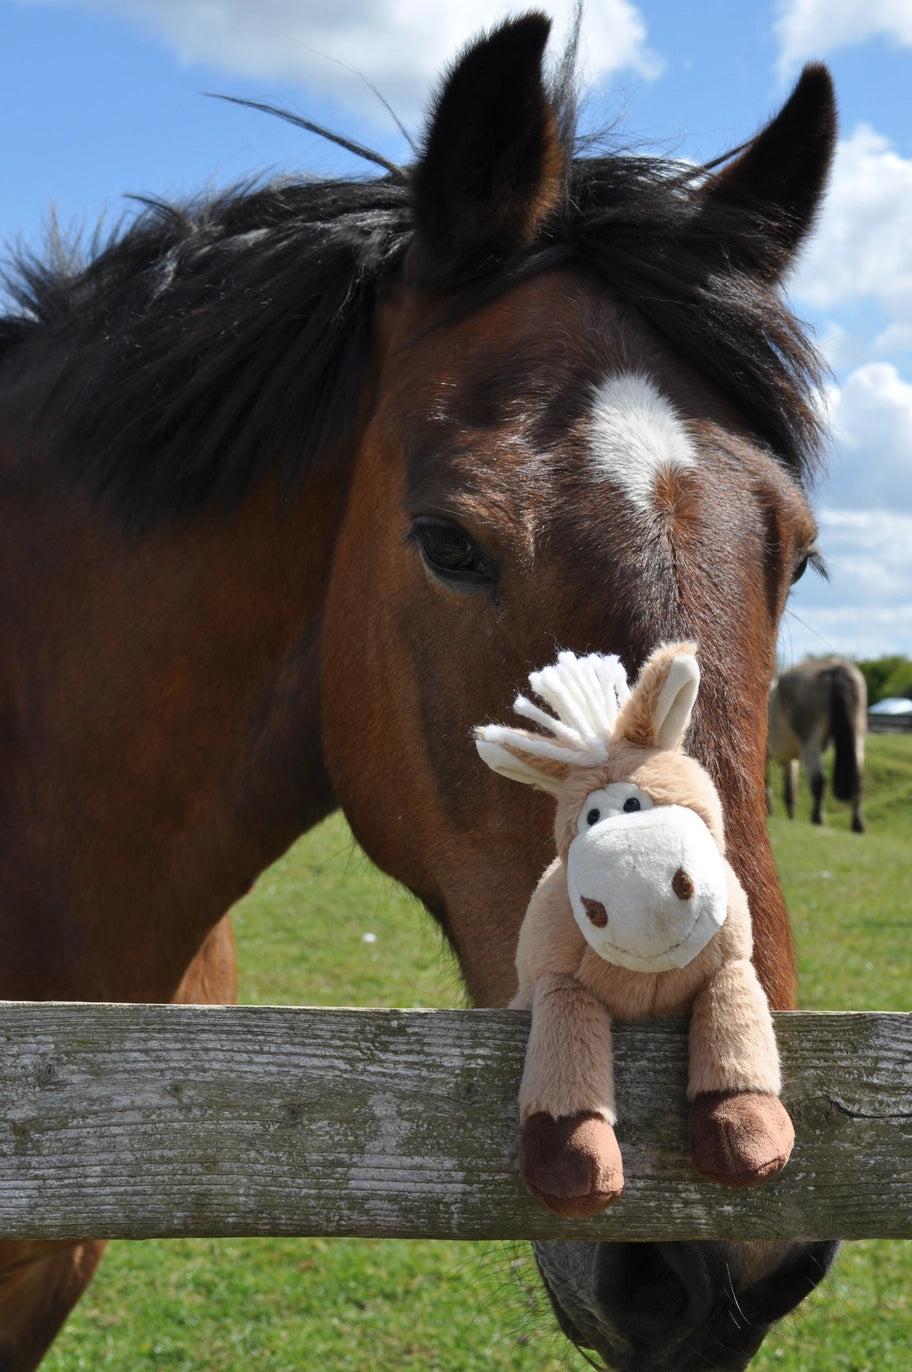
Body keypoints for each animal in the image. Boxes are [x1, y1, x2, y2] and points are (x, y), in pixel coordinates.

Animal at [768, 658, 867, 832]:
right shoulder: (790, 761)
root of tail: (833, 667)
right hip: (857, 740)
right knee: (858, 780)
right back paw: (857, 825)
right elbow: (790, 794)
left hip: (810, 746)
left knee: (818, 782)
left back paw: (817, 819)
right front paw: (790, 818)